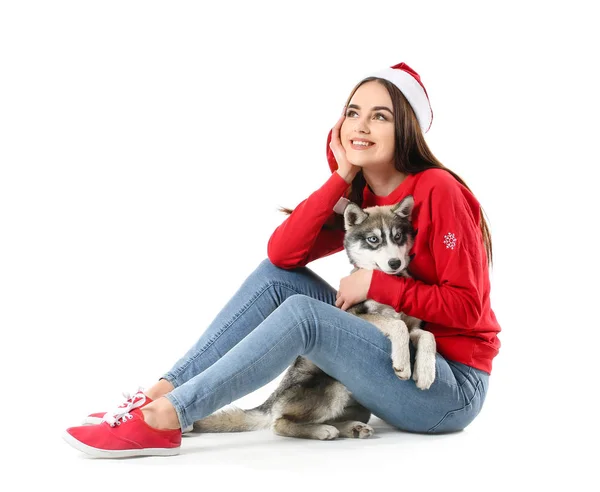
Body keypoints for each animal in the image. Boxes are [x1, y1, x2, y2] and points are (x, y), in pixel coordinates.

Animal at [193, 194, 436, 440]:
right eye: (373, 239)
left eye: (397, 237)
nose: (395, 263)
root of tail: (273, 399)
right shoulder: (357, 315)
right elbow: (397, 324)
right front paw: (403, 364)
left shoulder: (414, 326)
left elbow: (427, 335)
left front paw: (426, 373)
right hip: (333, 387)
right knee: (279, 423)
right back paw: (322, 430)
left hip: (359, 405)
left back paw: (351, 427)